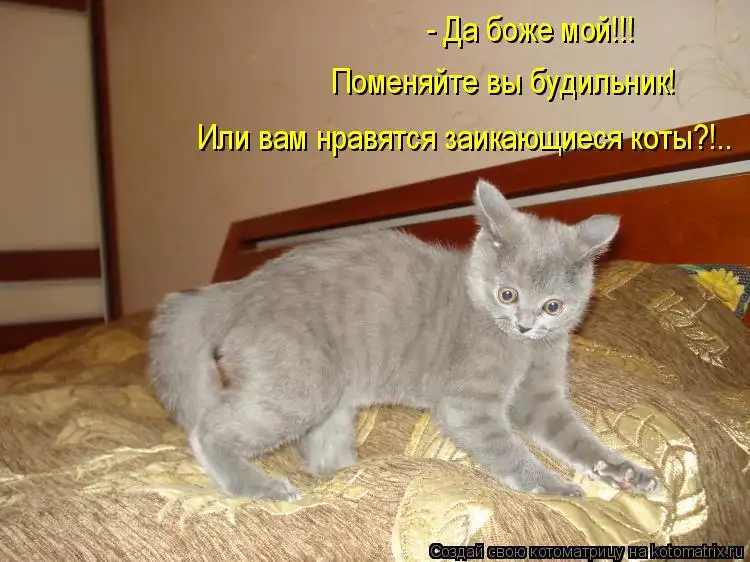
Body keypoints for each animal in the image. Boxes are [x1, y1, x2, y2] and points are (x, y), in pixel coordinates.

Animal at [148, 179, 659, 501]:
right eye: (508, 294)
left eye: (553, 306)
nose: (525, 324)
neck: (523, 350)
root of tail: (240, 289)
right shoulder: (468, 402)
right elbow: (504, 446)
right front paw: (553, 486)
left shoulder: (541, 396)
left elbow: (574, 435)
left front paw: (623, 471)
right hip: (301, 383)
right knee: (210, 429)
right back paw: (263, 487)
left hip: (330, 398)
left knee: (320, 452)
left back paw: (343, 477)